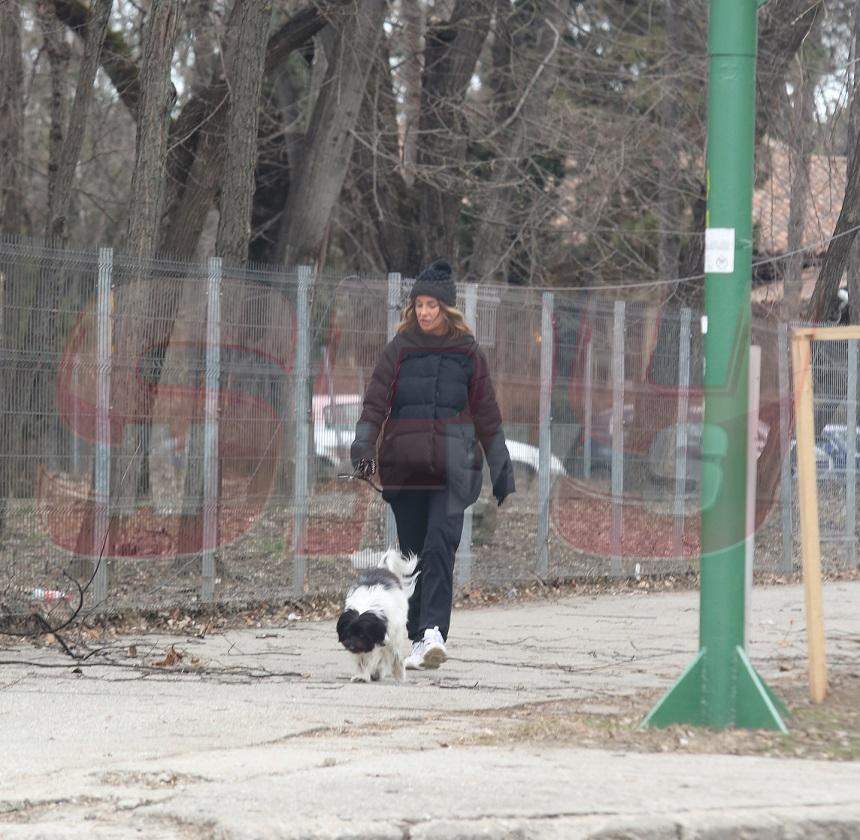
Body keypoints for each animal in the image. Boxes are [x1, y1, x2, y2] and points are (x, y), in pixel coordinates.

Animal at [334, 552, 418, 684]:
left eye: (362, 635)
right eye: (348, 633)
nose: (351, 646)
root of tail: (383, 569)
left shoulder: (389, 636)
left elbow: (395, 656)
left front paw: (399, 674)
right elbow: (362, 661)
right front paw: (361, 676)